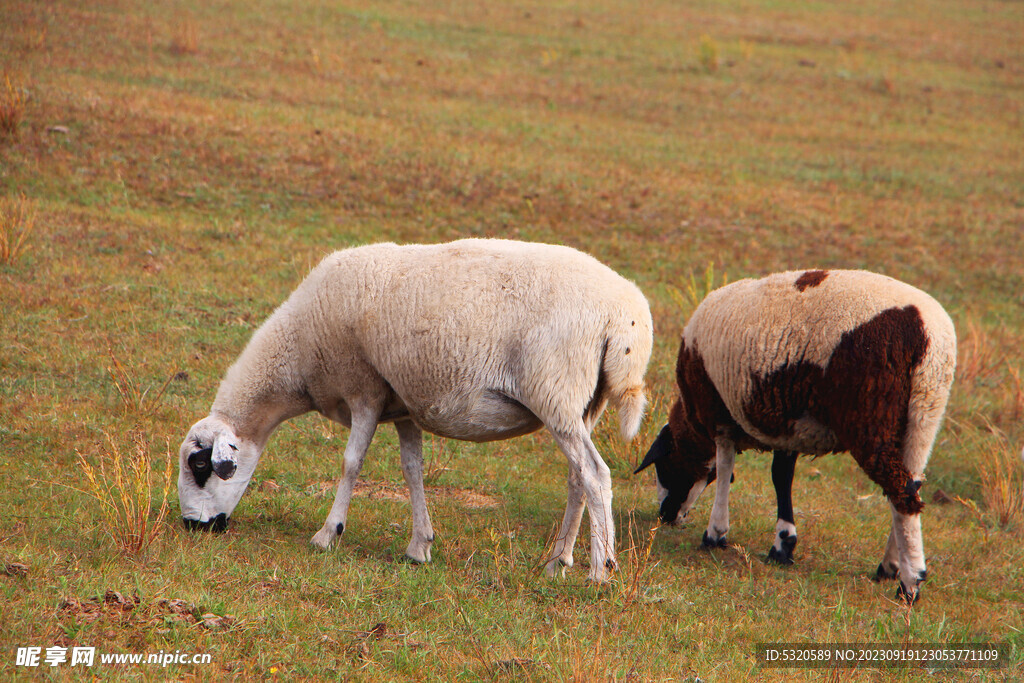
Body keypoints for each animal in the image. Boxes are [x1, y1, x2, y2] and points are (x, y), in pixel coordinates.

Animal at [179, 237, 651, 581]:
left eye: (199, 465)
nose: (191, 527)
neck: (297, 354)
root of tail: (626, 318)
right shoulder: (403, 403)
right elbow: (412, 470)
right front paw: (419, 546)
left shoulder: (364, 388)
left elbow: (351, 462)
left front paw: (327, 534)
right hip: (583, 405)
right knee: (577, 479)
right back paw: (558, 562)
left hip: (556, 392)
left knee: (595, 475)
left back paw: (600, 570)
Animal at [634, 270, 954, 602]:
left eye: (664, 465)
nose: (665, 516)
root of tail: (924, 330)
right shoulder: (787, 426)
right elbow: (781, 477)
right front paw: (783, 544)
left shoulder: (719, 414)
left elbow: (724, 468)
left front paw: (715, 533)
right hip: (923, 415)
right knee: (910, 486)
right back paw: (890, 565)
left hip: (871, 416)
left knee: (902, 493)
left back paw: (910, 582)